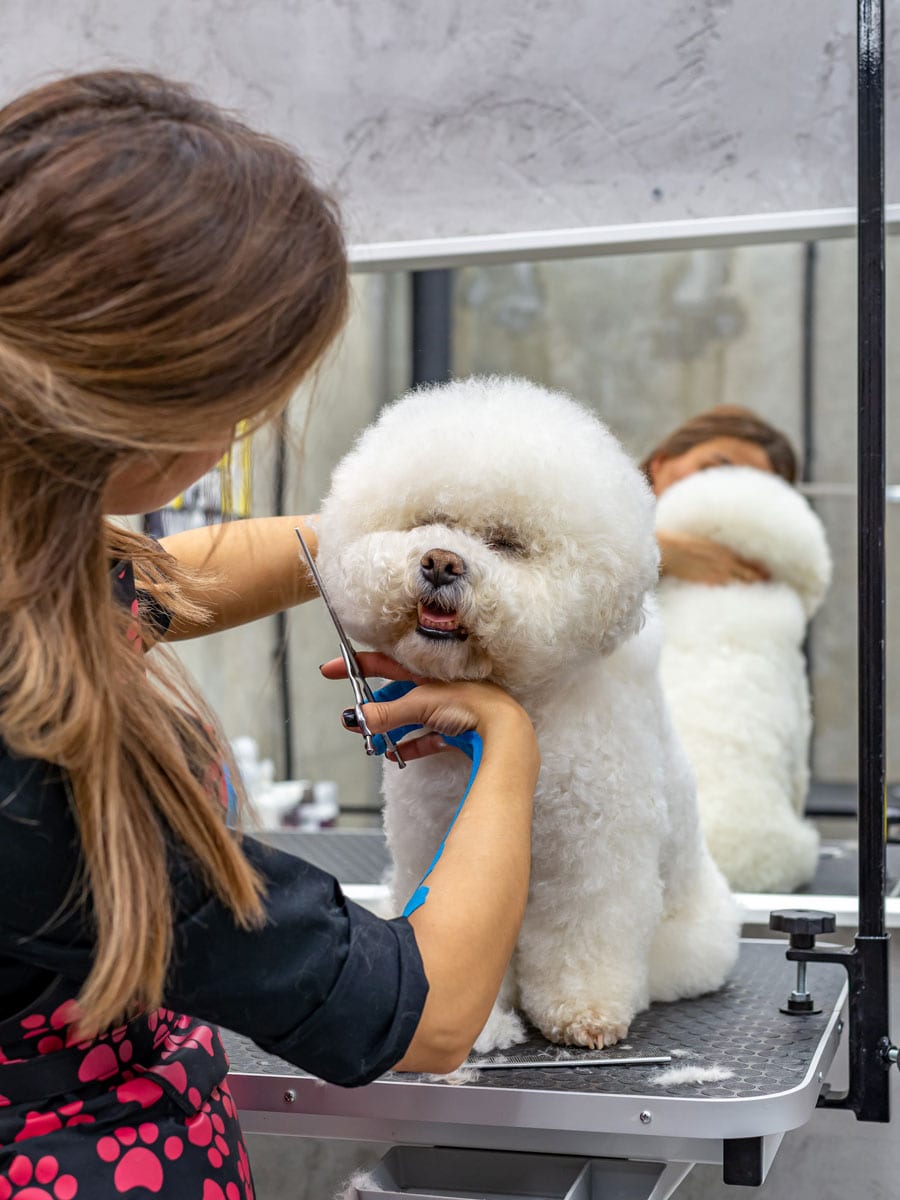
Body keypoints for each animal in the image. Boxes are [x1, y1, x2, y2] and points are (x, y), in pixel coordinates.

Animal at [316, 374, 739, 1051]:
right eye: (429, 521)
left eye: (506, 543)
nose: (439, 561)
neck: (527, 713)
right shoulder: (434, 842)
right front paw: (483, 1026)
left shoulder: (592, 857)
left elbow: (584, 933)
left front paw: (583, 1012)